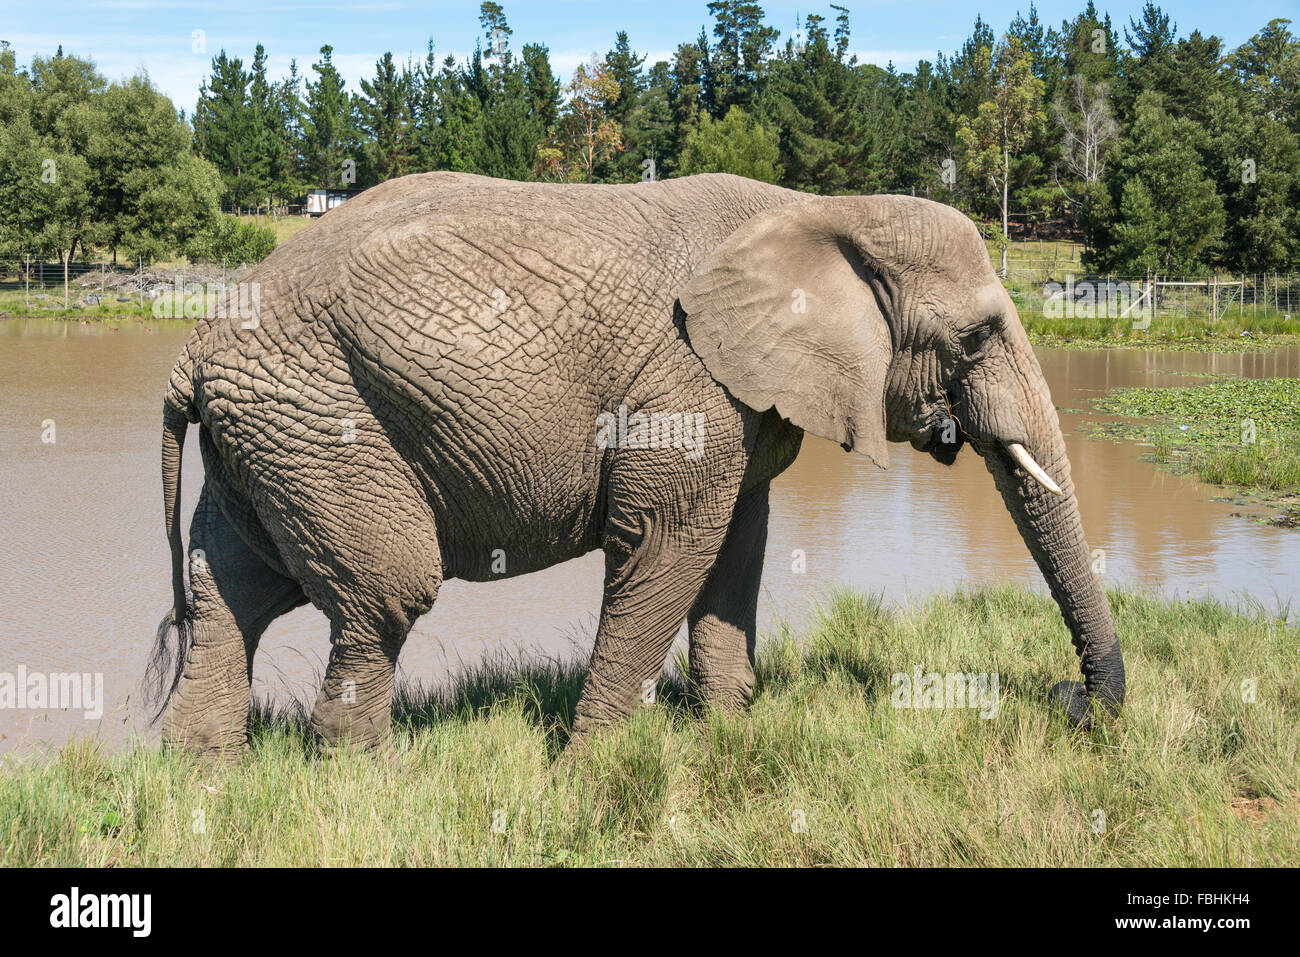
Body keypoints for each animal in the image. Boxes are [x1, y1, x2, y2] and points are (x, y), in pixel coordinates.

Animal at [147, 167, 1128, 759]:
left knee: (232, 590)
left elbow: (735, 550)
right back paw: (371, 786)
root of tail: (190, 350)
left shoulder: (743, 401)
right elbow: (665, 547)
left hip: (271, 437)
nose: (1077, 705)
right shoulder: (688, 383)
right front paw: (594, 772)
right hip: (323, 422)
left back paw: (206, 777)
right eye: (977, 336)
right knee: (385, 590)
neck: (819, 208)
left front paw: (729, 736)